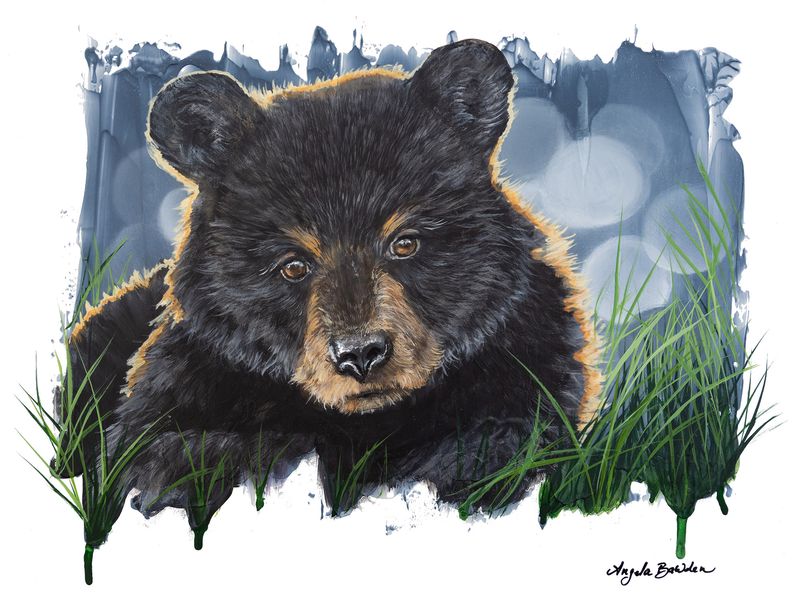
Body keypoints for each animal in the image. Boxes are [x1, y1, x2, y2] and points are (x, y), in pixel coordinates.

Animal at [61, 39, 601, 522]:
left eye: (405, 242)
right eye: (293, 265)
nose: (361, 355)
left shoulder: (524, 358)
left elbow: (505, 440)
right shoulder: (189, 376)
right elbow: (154, 451)